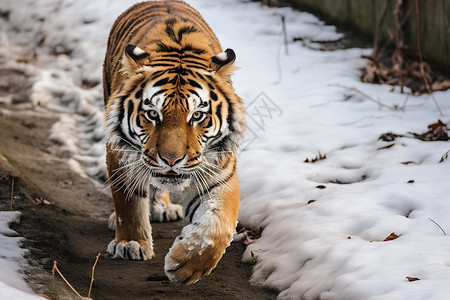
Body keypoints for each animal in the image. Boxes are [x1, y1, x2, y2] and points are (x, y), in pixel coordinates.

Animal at [102, 0, 246, 284]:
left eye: (197, 116)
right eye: (152, 114)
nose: (171, 159)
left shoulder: (219, 171)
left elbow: (220, 223)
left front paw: (187, 263)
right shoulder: (120, 152)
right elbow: (128, 202)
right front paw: (130, 244)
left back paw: (163, 208)